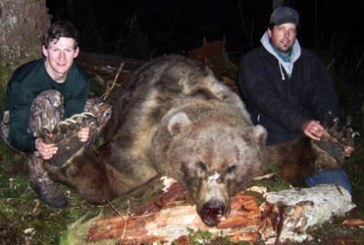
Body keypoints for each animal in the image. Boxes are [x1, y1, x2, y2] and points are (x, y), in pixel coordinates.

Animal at [44, 54, 268, 227]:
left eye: (232, 168)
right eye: (200, 164)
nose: (214, 206)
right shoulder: (143, 127)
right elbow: (119, 174)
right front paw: (66, 155)